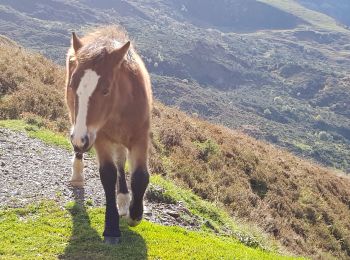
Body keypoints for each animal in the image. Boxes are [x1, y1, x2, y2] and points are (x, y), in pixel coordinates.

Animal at [65, 25, 152, 244]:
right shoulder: (99, 138)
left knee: (121, 160)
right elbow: (108, 174)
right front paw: (111, 228)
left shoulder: (140, 137)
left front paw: (134, 215)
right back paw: (77, 174)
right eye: (72, 86)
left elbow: (140, 176)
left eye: (105, 90)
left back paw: (123, 198)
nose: (80, 139)